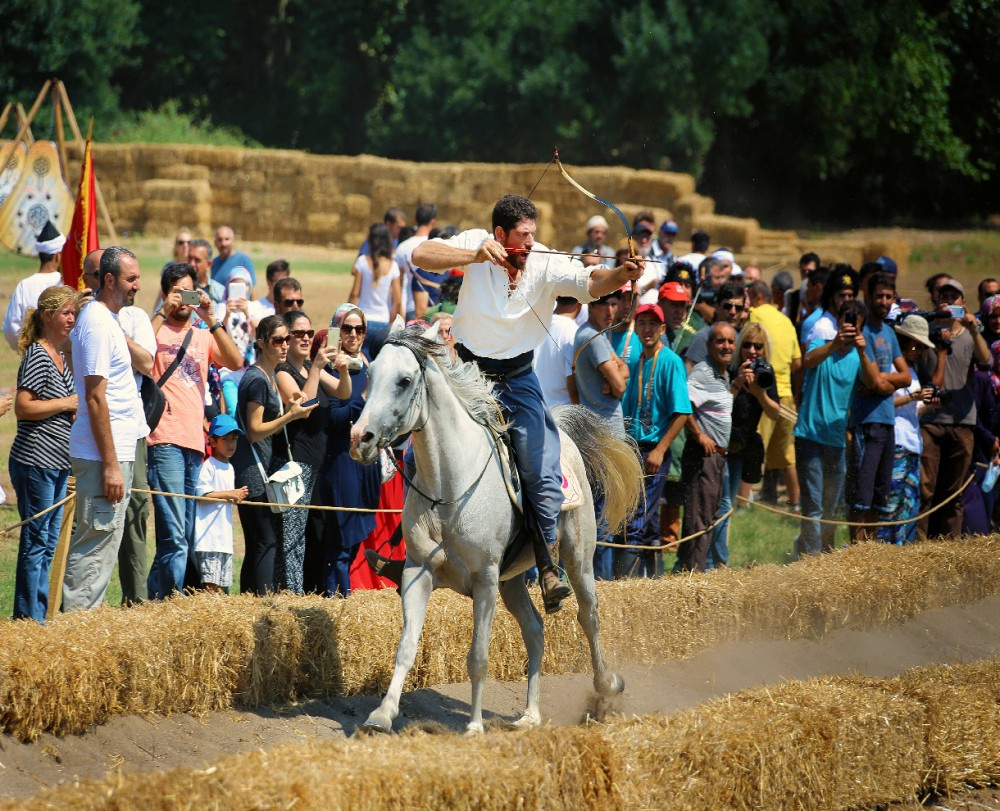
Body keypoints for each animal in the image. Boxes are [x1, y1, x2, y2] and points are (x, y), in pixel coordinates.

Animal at [352, 326, 644, 736]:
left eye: (404, 380)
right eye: (369, 375)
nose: (359, 437)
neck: (449, 488)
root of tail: (561, 432)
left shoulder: (486, 579)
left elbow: (479, 655)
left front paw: (474, 726)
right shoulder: (417, 572)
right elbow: (406, 646)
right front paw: (381, 715)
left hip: (577, 557)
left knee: (589, 616)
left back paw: (606, 687)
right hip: (513, 581)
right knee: (535, 631)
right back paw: (530, 715)